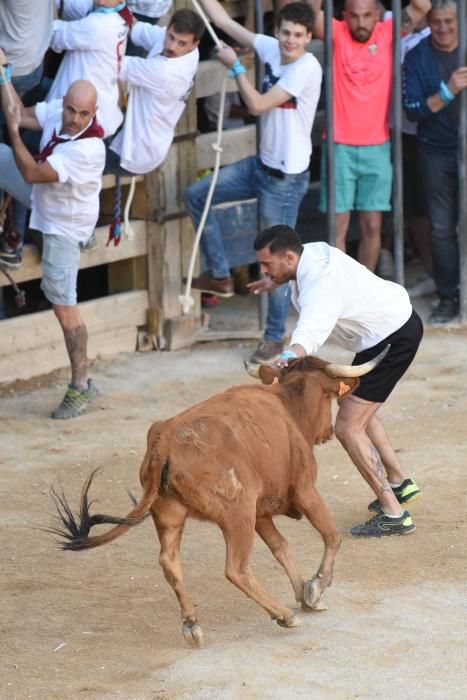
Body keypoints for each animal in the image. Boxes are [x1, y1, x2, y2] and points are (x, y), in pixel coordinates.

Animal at [50, 348, 388, 644]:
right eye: (330, 397)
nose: (327, 431)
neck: (289, 406)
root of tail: (165, 441)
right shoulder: (304, 490)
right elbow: (331, 536)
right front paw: (315, 588)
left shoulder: (260, 511)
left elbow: (282, 548)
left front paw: (303, 593)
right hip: (236, 515)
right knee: (236, 569)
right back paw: (282, 615)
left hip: (171, 515)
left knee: (169, 562)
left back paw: (191, 624)